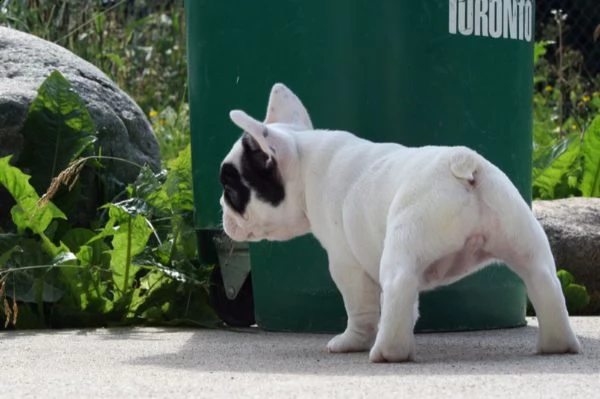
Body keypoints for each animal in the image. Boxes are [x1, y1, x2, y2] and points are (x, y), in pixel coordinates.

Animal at [219, 83, 580, 364]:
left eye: (232, 190)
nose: (221, 206)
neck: (305, 159)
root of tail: (462, 164)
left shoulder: (345, 264)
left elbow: (360, 308)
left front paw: (351, 342)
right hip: (524, 240)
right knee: (544, 284)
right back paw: (558, 345)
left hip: (403, 245)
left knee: (399, 290)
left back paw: (387, 352)